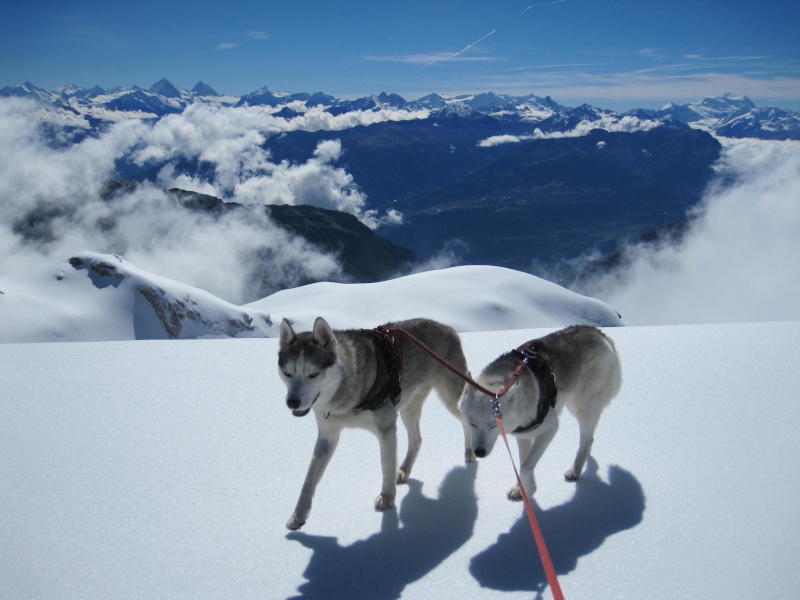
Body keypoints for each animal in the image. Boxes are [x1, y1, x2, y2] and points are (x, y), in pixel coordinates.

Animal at [278, 316, 472, 528]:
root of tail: (449, 328)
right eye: (287, 373)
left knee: (467, 420)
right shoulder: (327, 435)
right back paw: (404, 470)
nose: (292, 402)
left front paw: (387, 497)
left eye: (313, 374)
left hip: (451, 400)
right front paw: (298, 515)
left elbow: (386, 464)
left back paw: (470, 451)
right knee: (417, 440)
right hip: (408, 409)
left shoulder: (386, 427)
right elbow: (309, 479)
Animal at [460, 326, 620, 500]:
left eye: (493, 426)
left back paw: (575, 470)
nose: (479, 452)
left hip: (583, 407)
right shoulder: (523, 435)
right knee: (590, 437)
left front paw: (530, 490)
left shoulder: (550, 428)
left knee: (586, 439)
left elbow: (525, 466)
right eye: (472, 423)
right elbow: (523, 462)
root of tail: (597, 331)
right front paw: (521, 489)